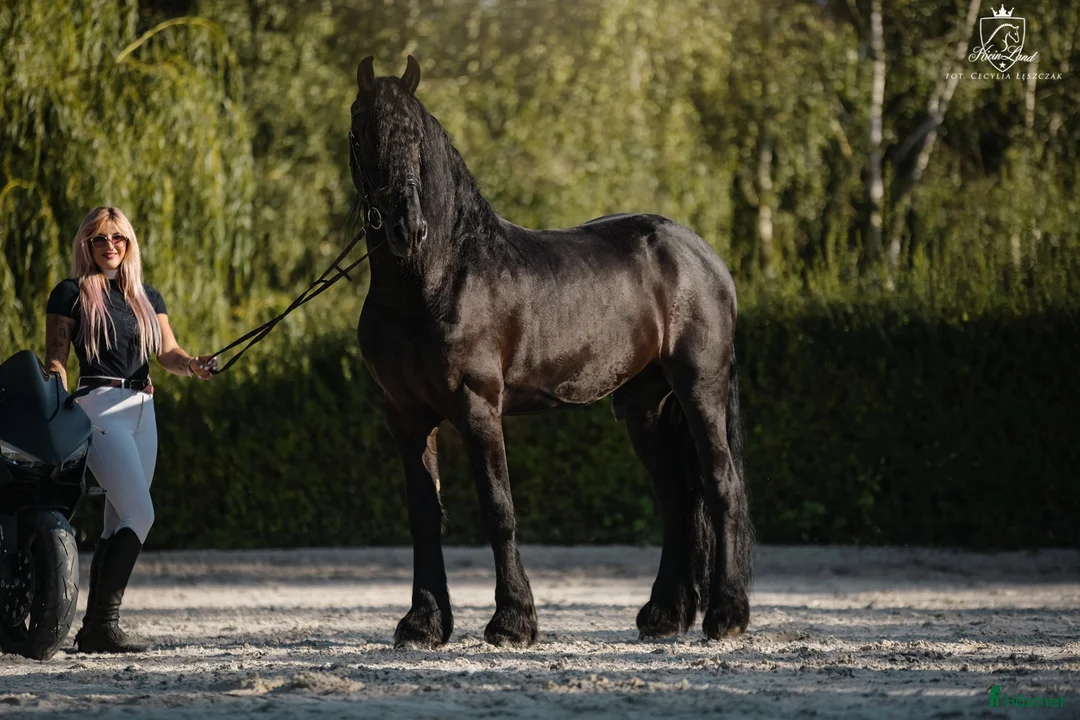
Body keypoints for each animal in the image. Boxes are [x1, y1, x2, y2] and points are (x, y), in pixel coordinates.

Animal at [349, 55, 753, 648]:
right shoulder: (405, 414)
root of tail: (704, 256)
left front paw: (513, 621)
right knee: (677, 496)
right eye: (363, 132)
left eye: (417, 137)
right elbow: (424, 514)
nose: (407, 228)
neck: (439, 279)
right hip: (645, 406)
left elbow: (498, 508)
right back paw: (663, 614)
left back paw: (726, 616)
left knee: (721, 485)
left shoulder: (477, 407)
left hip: (700, 387)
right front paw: (423, 624)